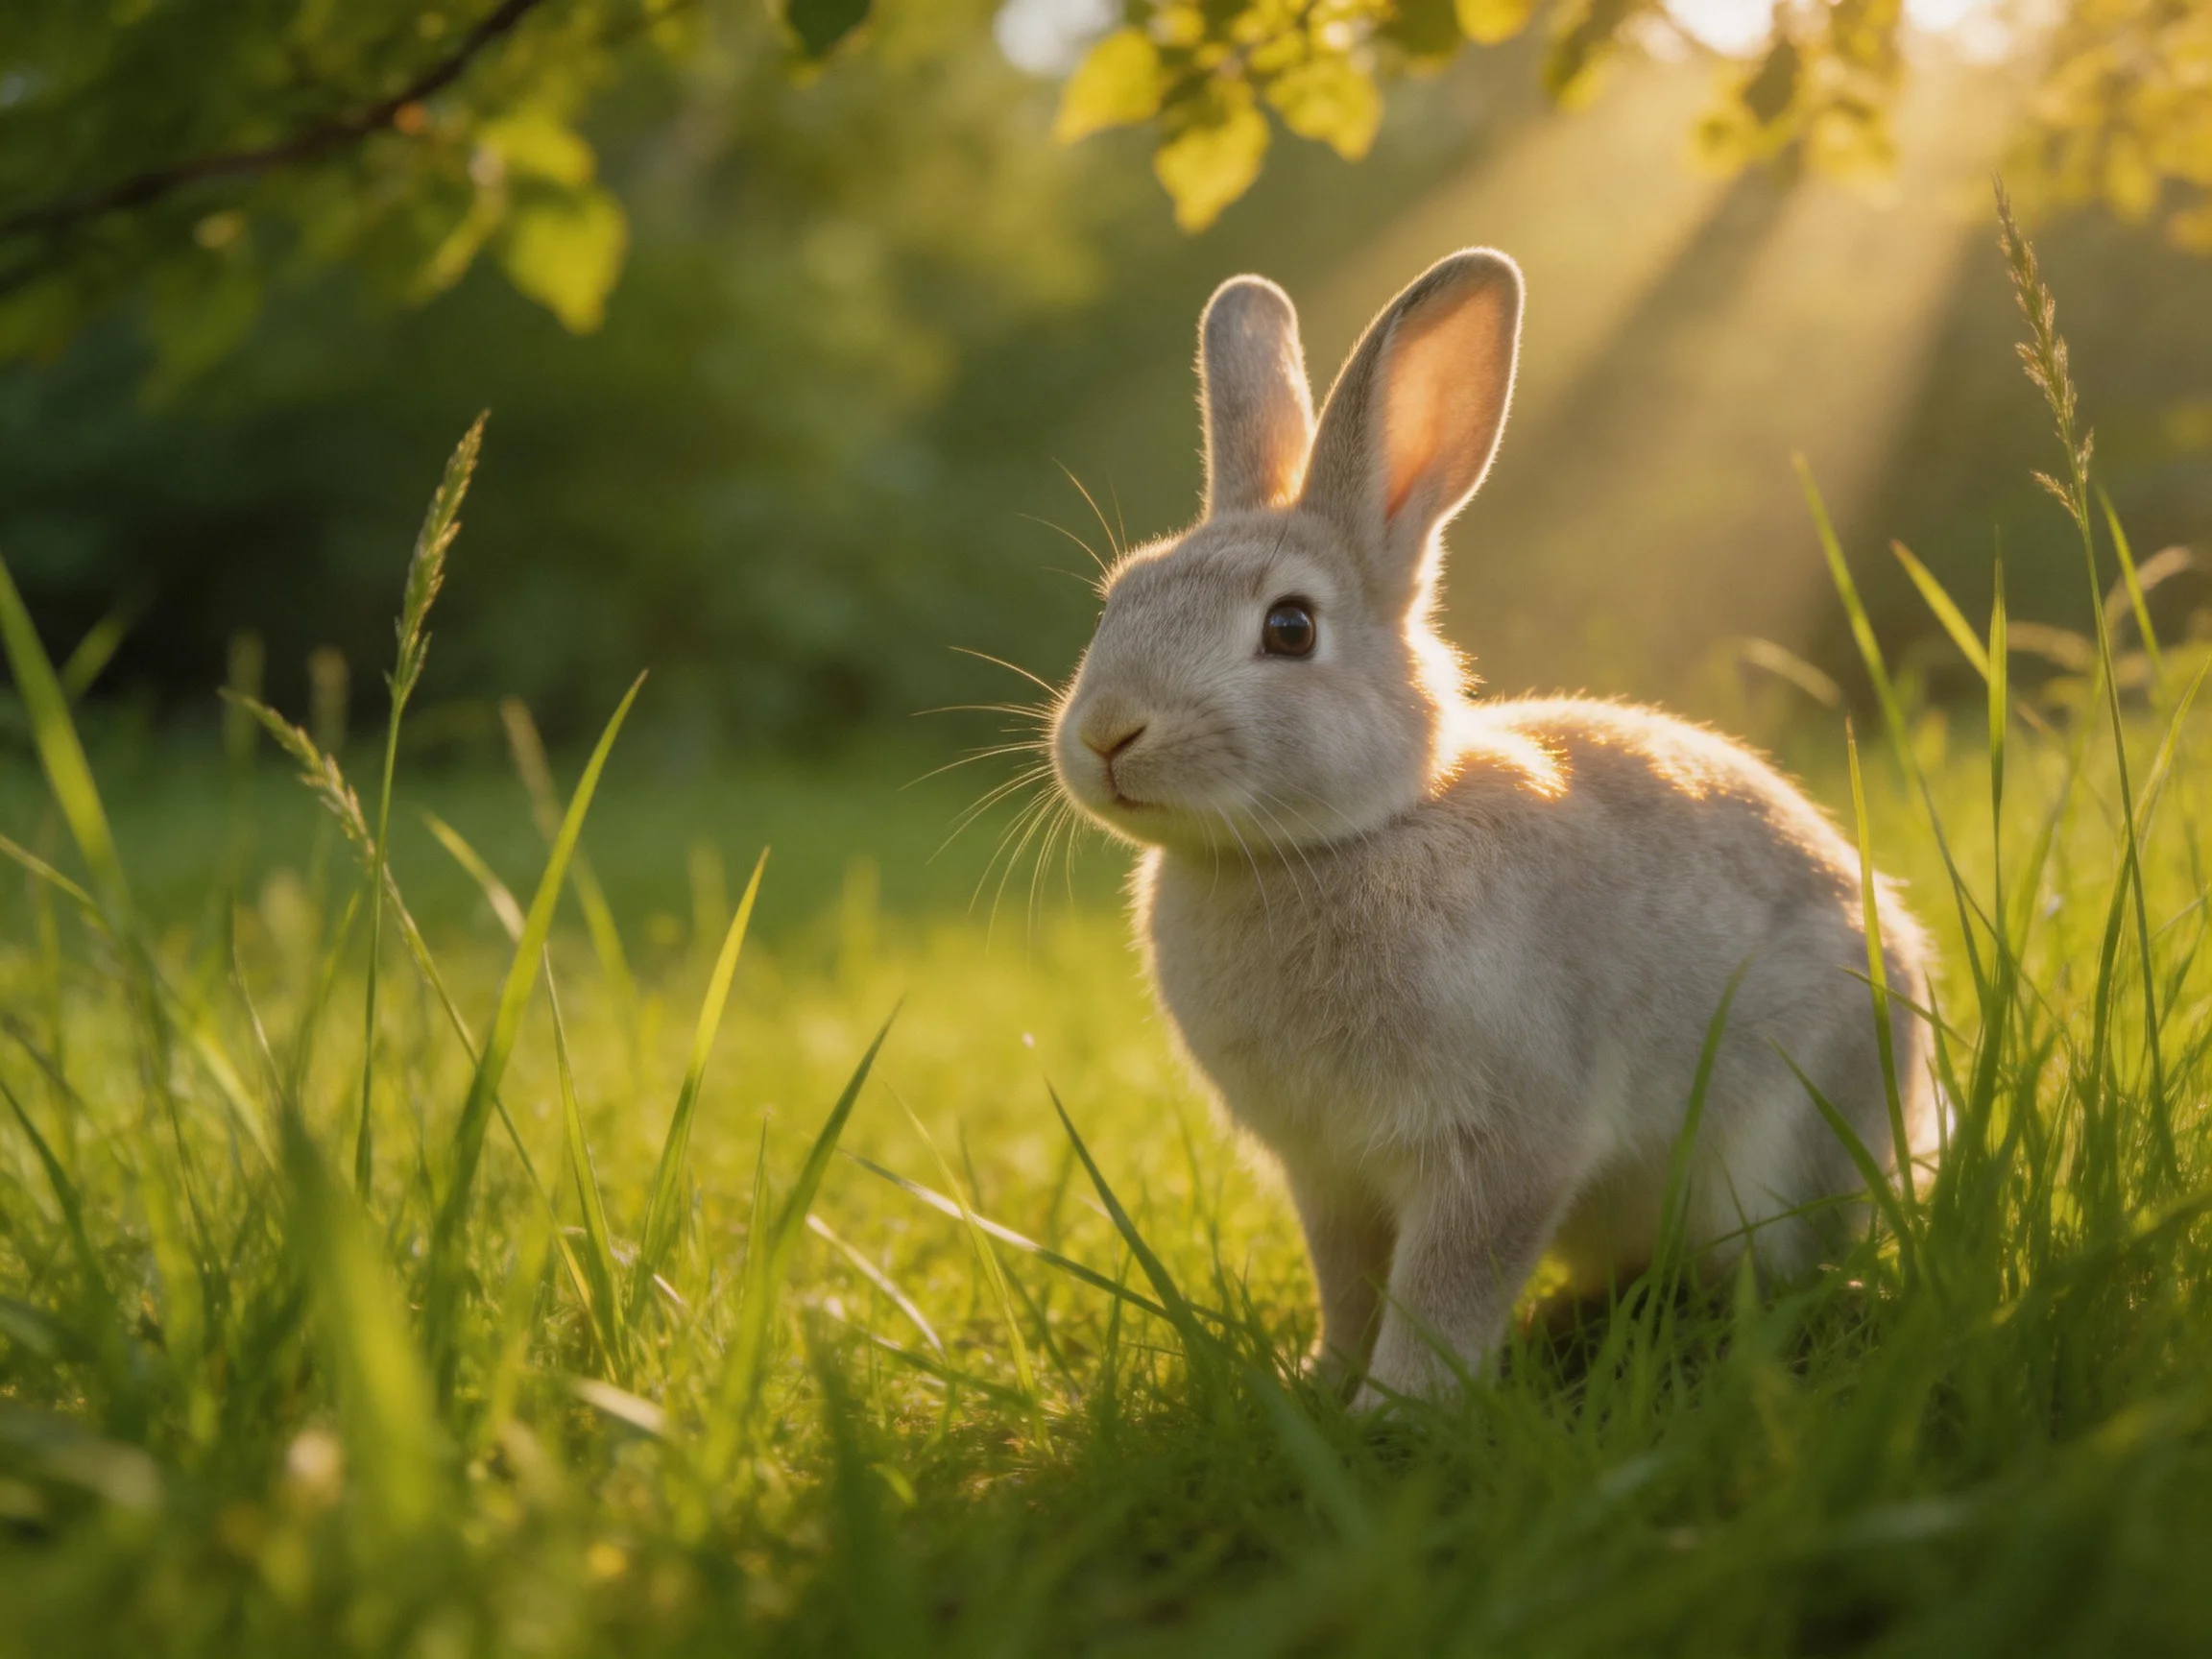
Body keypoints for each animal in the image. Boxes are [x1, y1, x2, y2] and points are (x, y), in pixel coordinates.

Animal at [1046, 249, 1938, 1408]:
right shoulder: (1326, 1174)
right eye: (1117, 601)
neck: (1339, 841)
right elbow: (1349, 1282)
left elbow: (1448, 1283)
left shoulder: (1503, 1144)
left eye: (1289, 628)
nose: (1107, 734)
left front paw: (1397, 1411)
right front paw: (1318, 1382)